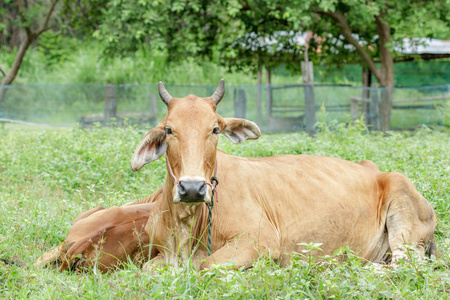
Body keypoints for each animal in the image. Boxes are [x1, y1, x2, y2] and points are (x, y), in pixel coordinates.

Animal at [37, 79, 438, 272]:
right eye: (169, 129)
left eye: (215, 129)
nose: (193, 187)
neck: (187, 222)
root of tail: (377, 171)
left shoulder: (257, 242)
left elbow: (202, 267)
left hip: (403, 225)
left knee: (405, 269)